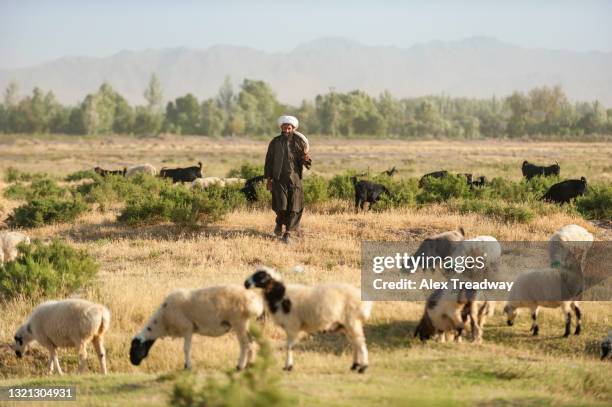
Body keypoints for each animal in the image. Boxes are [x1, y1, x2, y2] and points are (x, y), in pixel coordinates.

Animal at [129, 286, 262, 372]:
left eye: (135, 347)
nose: (133, 362)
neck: (162, 321)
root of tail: (256, 304)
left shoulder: (187, 328)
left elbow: (186, 349)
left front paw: (187, 366)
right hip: (247, 323)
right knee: (251, 343)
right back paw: (249, 365)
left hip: (239, 322)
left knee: (245, 344)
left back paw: (240, 366)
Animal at [244, 266, 372, 374]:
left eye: (261, 276)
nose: (245, 283)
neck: (280, 294)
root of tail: (365, 302)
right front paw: (287, 366)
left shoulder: (292, 325)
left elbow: (289, 346)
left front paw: (288, 367)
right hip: (346, 324)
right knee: (355, 343)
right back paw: (355, 365)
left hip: (353, 321)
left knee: (360, 343)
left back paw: (363, 367)